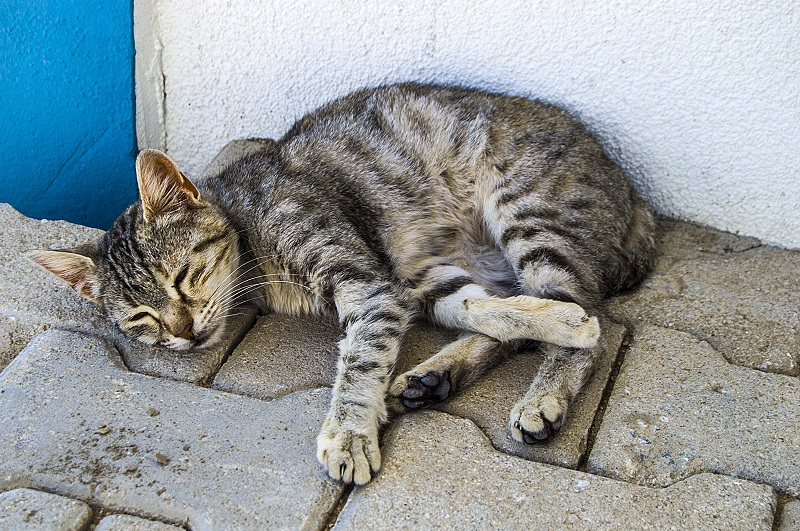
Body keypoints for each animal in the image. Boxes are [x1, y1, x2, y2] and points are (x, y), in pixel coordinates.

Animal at [31, 83, 656, 486]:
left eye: (184, 276)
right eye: (143, 318)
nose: (184, 333)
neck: (251, 239)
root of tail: (632, 191)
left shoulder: (370, 285)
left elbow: (358, 364)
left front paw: (349, 433)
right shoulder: (407, 281)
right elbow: (487, 311)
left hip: (531, 217)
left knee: (588, 325)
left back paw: (546, 390)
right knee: (507, 312)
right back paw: (434, 377)